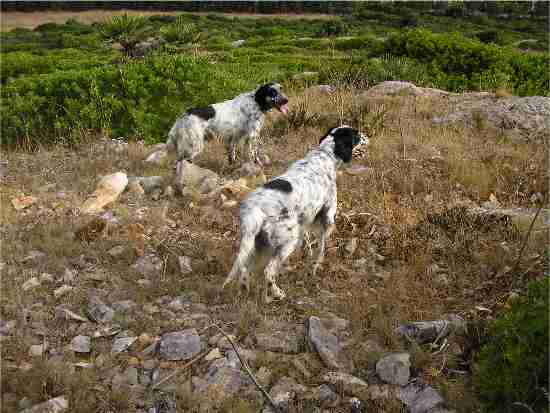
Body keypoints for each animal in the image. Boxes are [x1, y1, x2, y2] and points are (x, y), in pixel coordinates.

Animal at [222, 125, 368, 302]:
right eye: (357, 135)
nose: (368, 137)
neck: (324, 155)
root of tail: (255, 209)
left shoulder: (305, 221)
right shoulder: (326, 217)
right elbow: (321, 249)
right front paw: (314, 268)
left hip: (257, 243)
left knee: (244, 269)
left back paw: (246, 291)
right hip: (288, 241)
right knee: (268, 271)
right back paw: (277, 293)